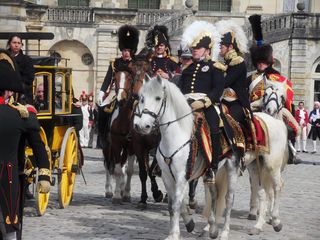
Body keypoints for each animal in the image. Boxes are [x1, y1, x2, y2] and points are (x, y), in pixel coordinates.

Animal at [133, 75, 240, 240]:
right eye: (141, 98)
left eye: (158, 98)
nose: (141, 126)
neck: (175, 136)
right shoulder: (168, 176)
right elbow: (173, 204)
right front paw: (187, 225)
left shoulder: (182, 175)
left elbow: (177, 203)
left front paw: (175, 234)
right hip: (210, 173)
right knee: (214, 195)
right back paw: (211, 229)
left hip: (232, 167)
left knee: (229, 199)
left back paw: (224, 232)